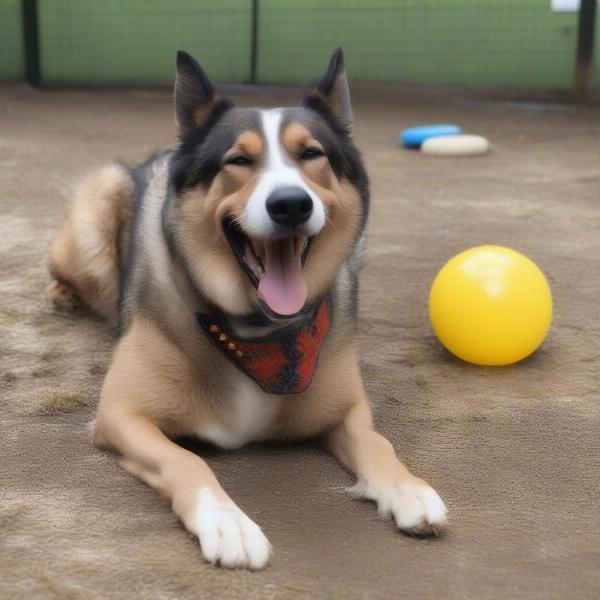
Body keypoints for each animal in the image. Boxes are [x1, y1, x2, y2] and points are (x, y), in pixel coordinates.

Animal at [48, 49, 446, 568]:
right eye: (239, 160)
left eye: (311, 154)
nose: (291, 204)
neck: (259, 331)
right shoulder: (121, 415)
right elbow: (187, 458)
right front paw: (227, 521)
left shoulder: (348, 408)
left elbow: (375, 441)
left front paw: (408, 488)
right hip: (101, 202)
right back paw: (62, 295)